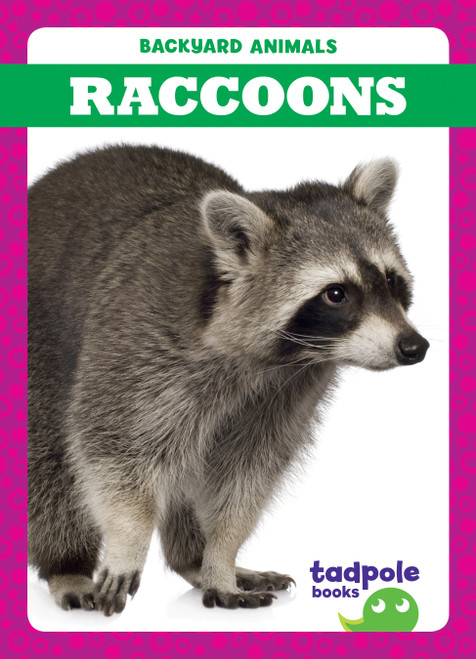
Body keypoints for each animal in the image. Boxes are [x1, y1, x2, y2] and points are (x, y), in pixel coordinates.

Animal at [28, 145, 429, 615]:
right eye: (336, 293)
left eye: (390, 280)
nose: (413, 346)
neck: (273, 359)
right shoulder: (138, 342)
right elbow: (115, 448)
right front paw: (128, 537)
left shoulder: (289, 389)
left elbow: (247, 472)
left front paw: (220, 555)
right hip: (38, 343)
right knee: (51, 463)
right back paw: (67, 565)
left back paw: (193, 560)